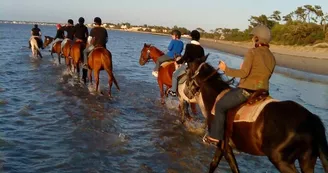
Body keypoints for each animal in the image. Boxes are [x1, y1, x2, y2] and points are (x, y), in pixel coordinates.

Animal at [186, 56, 328, 172]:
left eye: (187, 70)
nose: (186, 93)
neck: (215, 98)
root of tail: (312, 119)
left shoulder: (223, 146)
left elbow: (221, 165)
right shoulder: (224, 147)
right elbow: (216, 164)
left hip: (281, 161)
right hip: (307, 161)